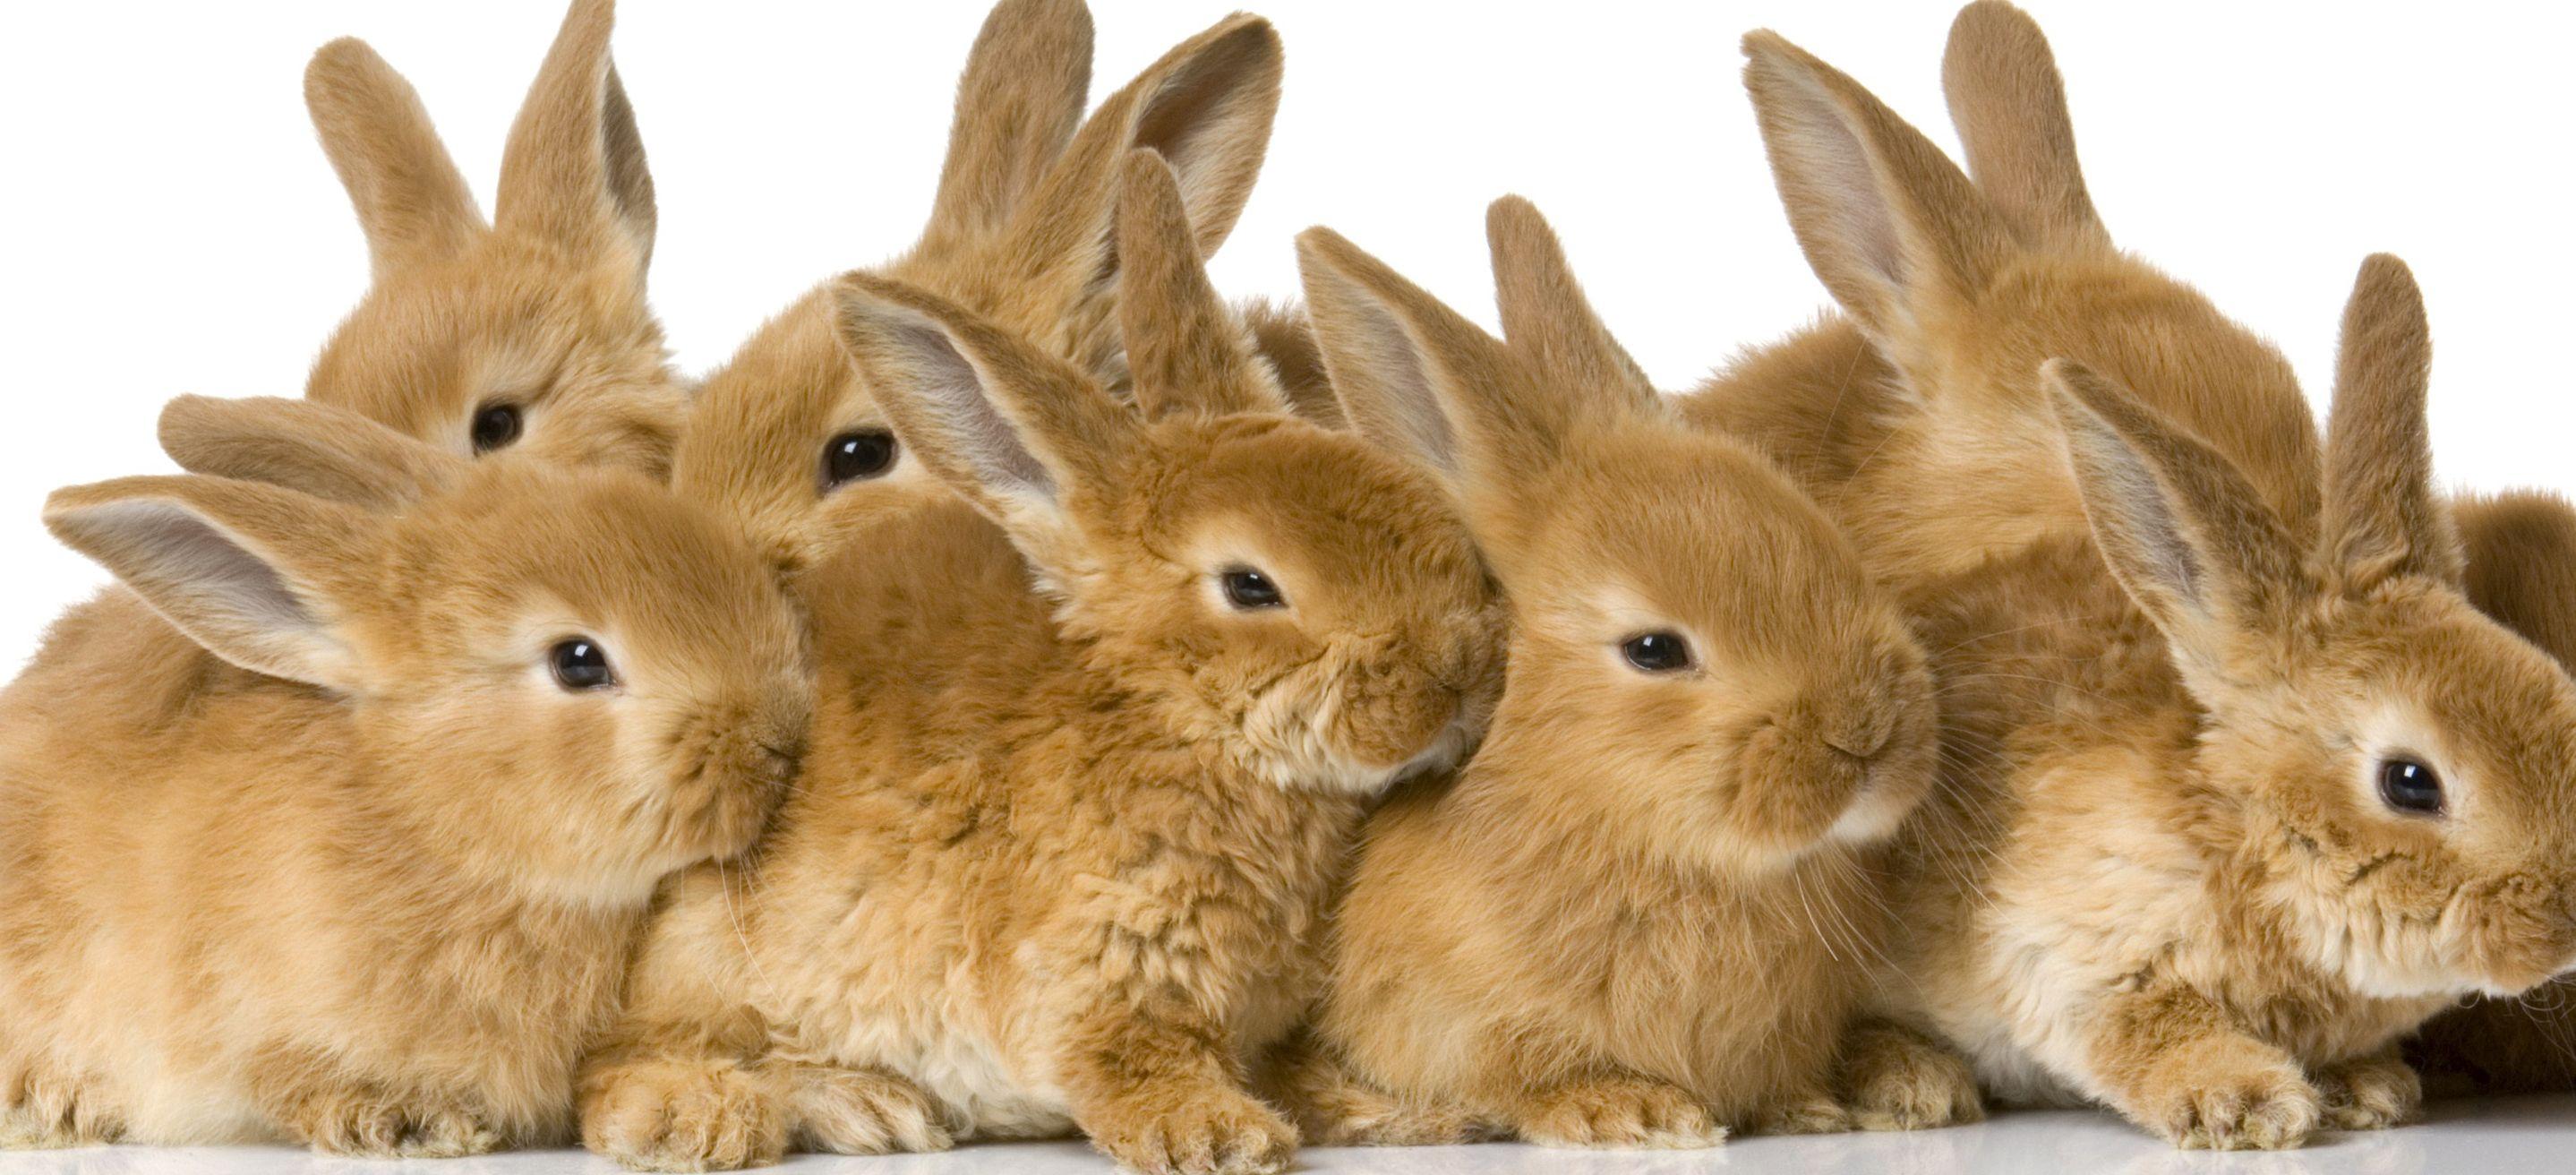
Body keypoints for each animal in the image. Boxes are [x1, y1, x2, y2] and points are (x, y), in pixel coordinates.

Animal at [574, 150, 1503, 1175]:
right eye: (1251, 586)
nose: (1457, 678)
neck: (1168, 719)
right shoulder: (1100, 970)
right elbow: (1128, 1060)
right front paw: (1219, 1134)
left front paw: (1398, 1113)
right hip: (706, 954)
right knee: (621, 1070)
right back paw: (780, 1111)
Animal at [1255, 195, 1954, 1149]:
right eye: (1653, 650)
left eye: (1832, 544)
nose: (1867, 735)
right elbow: (1518, 1078)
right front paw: (1630, 1110)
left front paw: (1835, 1099)